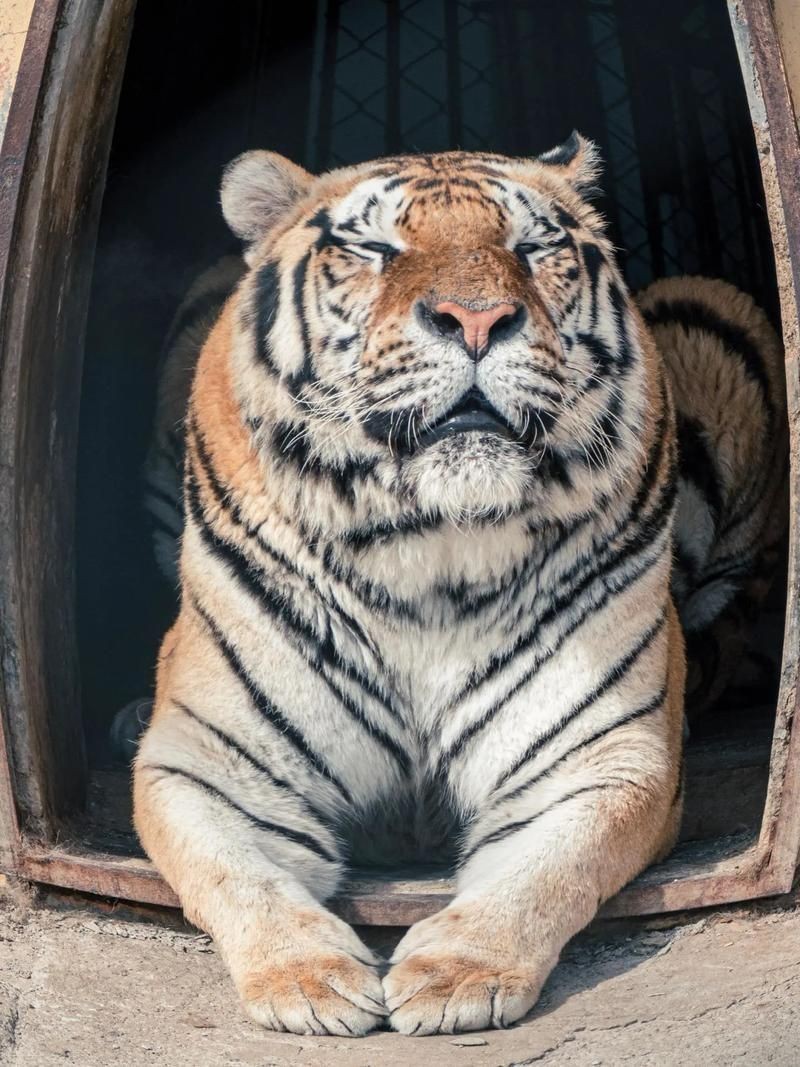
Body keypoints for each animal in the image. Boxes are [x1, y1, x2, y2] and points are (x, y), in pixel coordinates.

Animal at [131, 134, 785, 1037]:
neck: (428, 552)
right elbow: (237, 875)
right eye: (377, 249)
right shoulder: (208, 767)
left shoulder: (601, 759)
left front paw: (454, 974)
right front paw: (310, 981)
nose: (477, 319)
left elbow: (544, 873)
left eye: (532, 247)